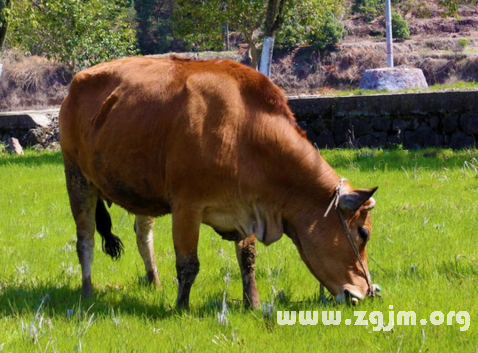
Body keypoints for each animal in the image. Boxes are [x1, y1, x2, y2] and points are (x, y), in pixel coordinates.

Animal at [58, 55, 378, 308]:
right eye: (363, 233)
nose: (366, 292)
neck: (244, 134)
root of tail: (76, 83)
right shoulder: (187, 207)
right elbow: (188, 264)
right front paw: (181, 307)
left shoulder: (248, 207)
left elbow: (247, 258)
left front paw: (253, 303)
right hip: (77, 177)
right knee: (85, 240)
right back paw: (87, 291)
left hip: (140, 192)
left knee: (143, 236)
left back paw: (154, 281)